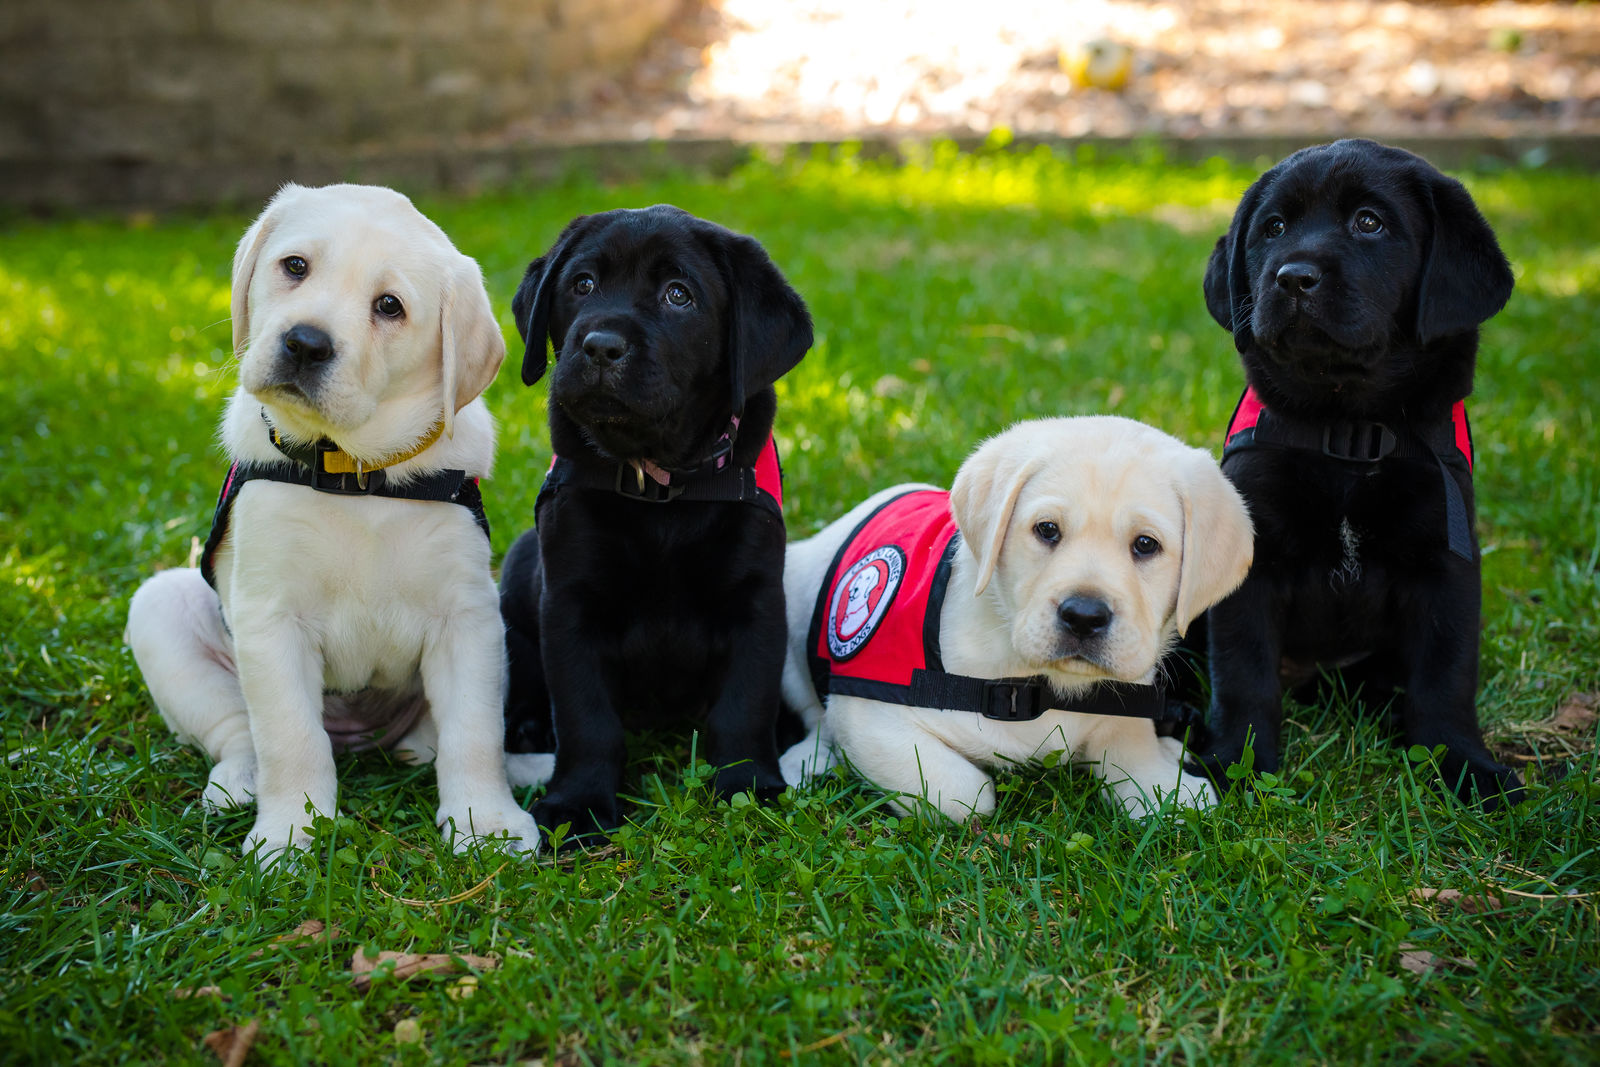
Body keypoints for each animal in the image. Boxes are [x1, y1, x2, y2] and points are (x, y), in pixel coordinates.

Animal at [124, 185, 550, 857]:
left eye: (389, 306)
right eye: (295, 266)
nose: (304, 343)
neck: (354, 468)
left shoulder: (467, 616)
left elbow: (475, 732)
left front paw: (487, 822)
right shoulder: (271, 618)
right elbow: (290, 737)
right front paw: (290, 834)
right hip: (161, 608)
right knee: (238, 729)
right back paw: (240, 782)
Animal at [502, 206, 812, 844]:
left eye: (678, 295)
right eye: (583, 284)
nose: (600, 346)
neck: (660, 485)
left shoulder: (758, 601)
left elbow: (744, 704)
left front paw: (748, 789)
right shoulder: (568, 602)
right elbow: (586, 717)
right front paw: (578, 805)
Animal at [780, 415, 1254, 819]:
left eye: (1146, 544)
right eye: (1046, 530)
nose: (1084, 617)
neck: (1043, 686)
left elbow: (1141, 765)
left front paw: (1169, 779)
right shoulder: (867, 713)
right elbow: (963, 793)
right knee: (813, 712)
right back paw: (806, 760)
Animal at [1190, 139, 1523, 809]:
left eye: (1369, 222)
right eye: (1274, 227)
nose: (1292, 277)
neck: (1348, 427)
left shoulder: (1446, 561)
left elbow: (1446, 676)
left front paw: (1463, 765)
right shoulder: (1249, 563)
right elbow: (1242, 671)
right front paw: (1236, 764)